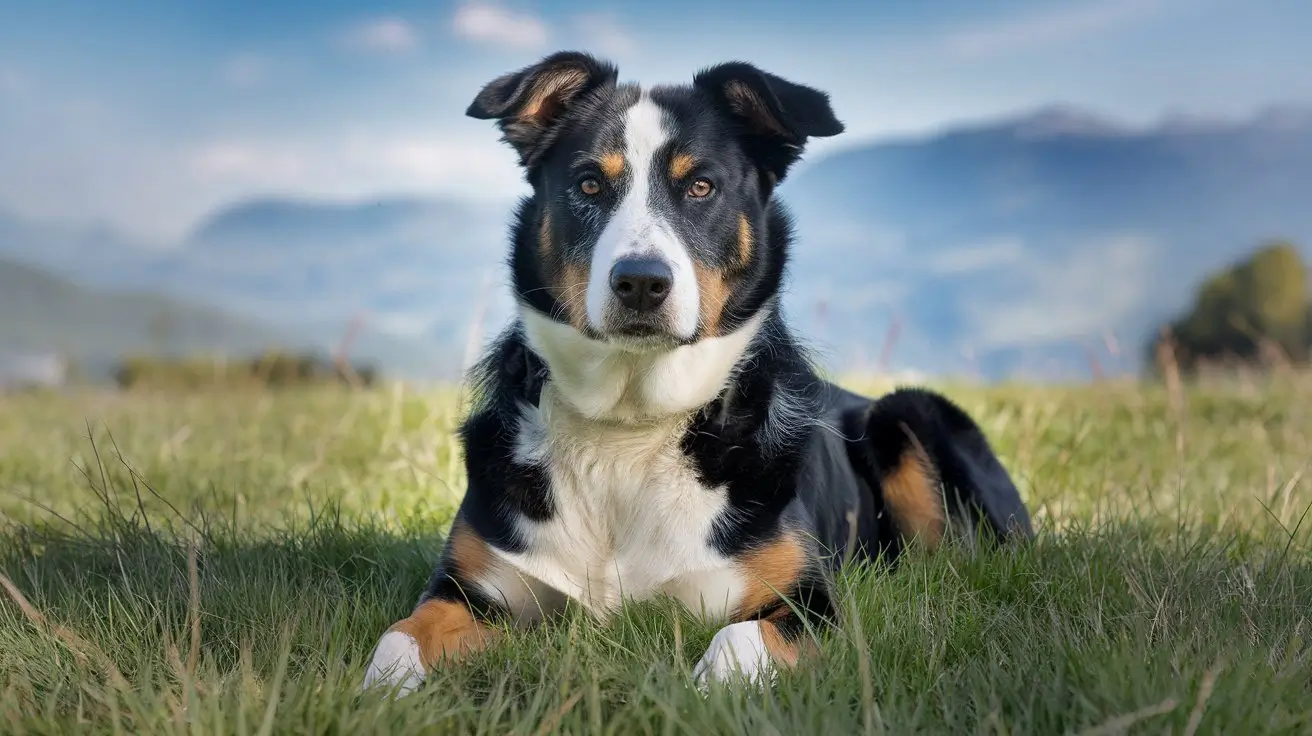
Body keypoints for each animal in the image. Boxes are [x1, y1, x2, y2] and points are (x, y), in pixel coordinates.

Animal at [362, 51, 1033, 692]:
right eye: (588, 184)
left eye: (702, 187)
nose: (640, 282)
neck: (629, 430)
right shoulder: (472, 589)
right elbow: (398, 639)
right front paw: (381, 694)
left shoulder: (808, 602)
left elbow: (735, 643)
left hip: (906, 412)